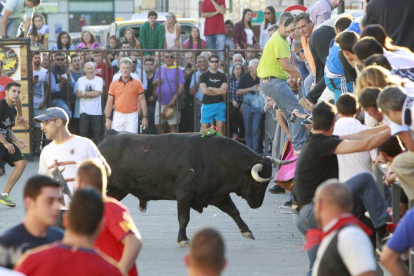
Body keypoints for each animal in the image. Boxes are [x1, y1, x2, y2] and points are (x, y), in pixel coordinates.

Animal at [98, 130, 292, 247]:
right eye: (258, 182)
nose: (256, 205)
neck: (217, 158)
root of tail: (106, 139)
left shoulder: (218, 195)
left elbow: (234, 211)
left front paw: (247, 231)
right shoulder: (184, 194)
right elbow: (184, 218)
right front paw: (183, 239)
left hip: (119, 189)